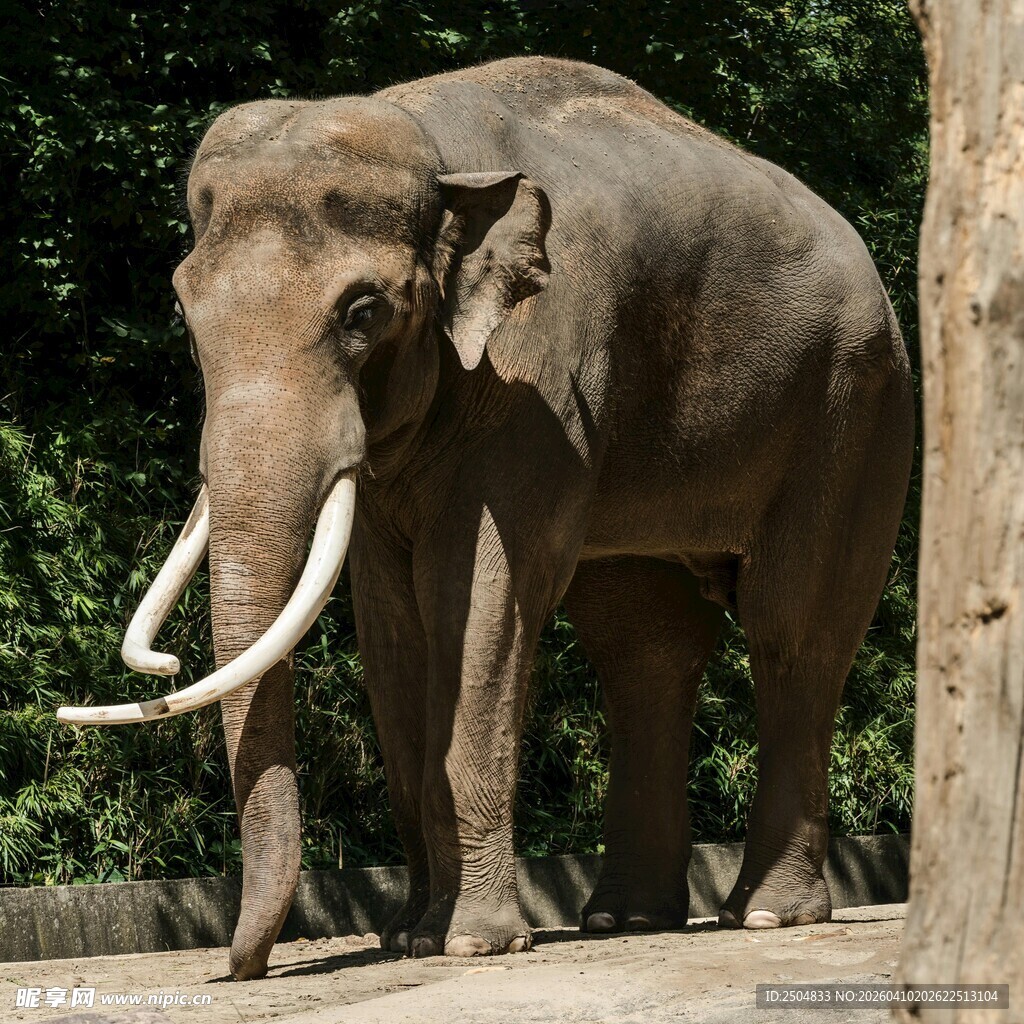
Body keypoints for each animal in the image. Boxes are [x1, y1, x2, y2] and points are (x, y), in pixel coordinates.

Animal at [58, 56, 914, 981]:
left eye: (363, 314)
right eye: (184, 315)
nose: (242, 969)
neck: (434, 152)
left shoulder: (536, 377)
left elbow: (474, 599)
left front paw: (469, 942)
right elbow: (392, 620)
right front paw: (407, 939)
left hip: (854, 404)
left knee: (792, 629)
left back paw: (765, 916)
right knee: (644, 643)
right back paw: (621, 920)